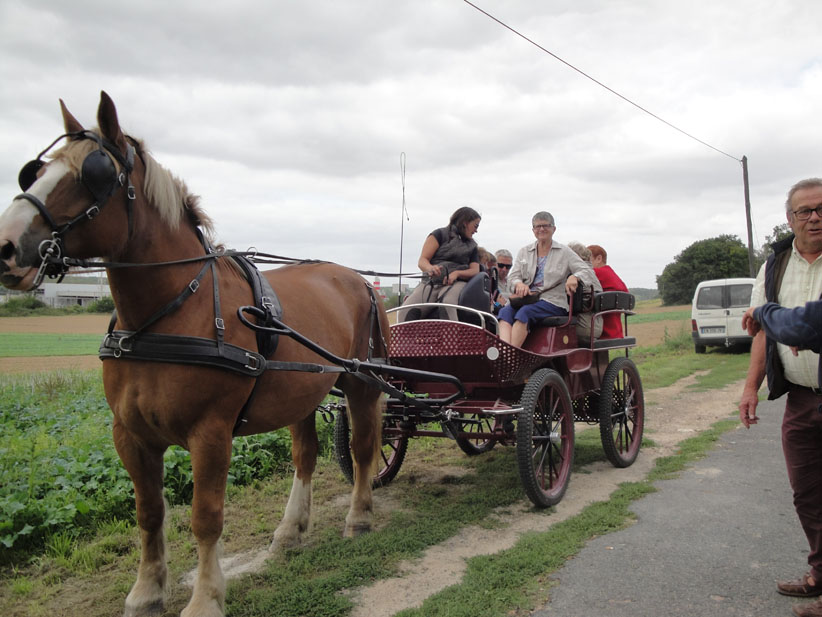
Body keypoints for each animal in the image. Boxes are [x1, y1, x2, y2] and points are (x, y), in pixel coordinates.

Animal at [0, 92, 390, 616]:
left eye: (93, 174)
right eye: (34, 172)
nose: (6, 246)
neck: (168, 314)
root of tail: (360, 280)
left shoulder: (211, 434)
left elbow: (206, 517)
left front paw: (205, 597)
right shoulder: (130, 434)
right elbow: (149, 513)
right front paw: (146, 591)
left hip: (362, 381)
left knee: (365, 447)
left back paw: (359, 515)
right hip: (302, 391)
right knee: (304, 456)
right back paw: (290, 531)